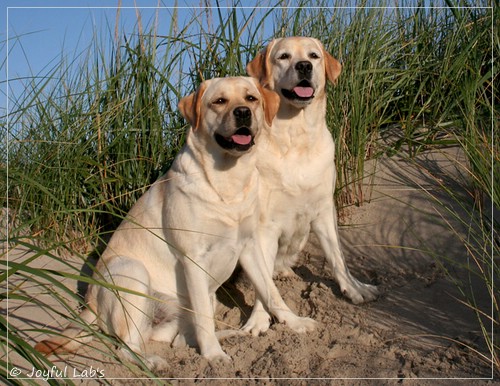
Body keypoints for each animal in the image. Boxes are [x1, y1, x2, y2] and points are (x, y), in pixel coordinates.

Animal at [36, 76, 316, 368]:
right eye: (219, 101)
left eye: (251, 98)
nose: (243, 113)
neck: (228, 184)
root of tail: (88, 303)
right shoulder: (194, 259)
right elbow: (204, 320)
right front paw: (214, 356)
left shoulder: (249, 247)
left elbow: (272, 293)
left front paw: (294, 322)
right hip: (133, 274)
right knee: (126, 348)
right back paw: (154, 362)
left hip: (199, 299)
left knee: (180, 340)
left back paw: (230, 334)